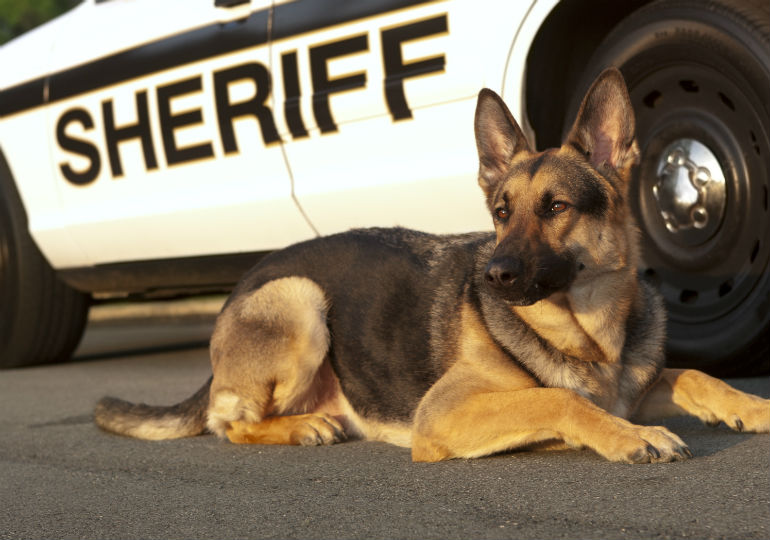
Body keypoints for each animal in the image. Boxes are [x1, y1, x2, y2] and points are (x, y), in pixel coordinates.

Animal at [93, 69, 764, 462]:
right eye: (500, 212)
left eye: (556, 207)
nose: (493, 274)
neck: (590, 335)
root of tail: (241, 288)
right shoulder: (442, 415)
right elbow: (559, 401)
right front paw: (631, 436)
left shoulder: (636, 383)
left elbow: (691, 374)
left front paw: (753, 407)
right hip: (300, 299)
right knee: (227, 423)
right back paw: (302, 427)